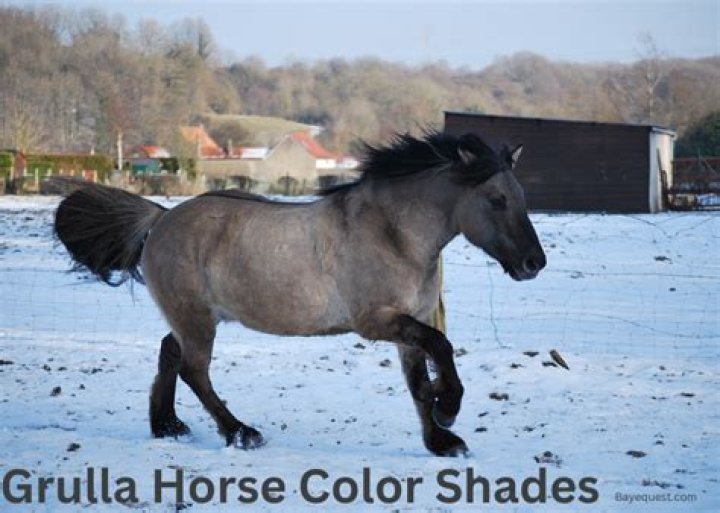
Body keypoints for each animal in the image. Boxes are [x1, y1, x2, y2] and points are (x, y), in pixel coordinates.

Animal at [54, 130, 546, 457]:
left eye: (522, 196)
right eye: (497, 199)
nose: (533, 263)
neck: (393, 233)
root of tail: (160, 218)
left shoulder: (410, 322)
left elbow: (418, 380)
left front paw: (441, 438)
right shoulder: (376, 321)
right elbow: (438, 350)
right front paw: (448, 408)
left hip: (195, 318)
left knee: (169, 354)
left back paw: (168, 427)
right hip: (196, 320)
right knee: (195, 370)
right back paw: (240, 433)